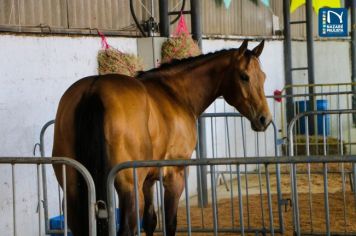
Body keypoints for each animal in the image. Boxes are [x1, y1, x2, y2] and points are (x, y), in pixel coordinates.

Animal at [52, 39, 270, 235]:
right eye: (244, 76)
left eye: (263, 76)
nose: (264, 119)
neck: (175, 93)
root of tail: (94, 90)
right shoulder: (175, 176)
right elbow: (170, 223)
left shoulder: (148, 181)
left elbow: (150, 221)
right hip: (128, 188)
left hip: (73, 188)